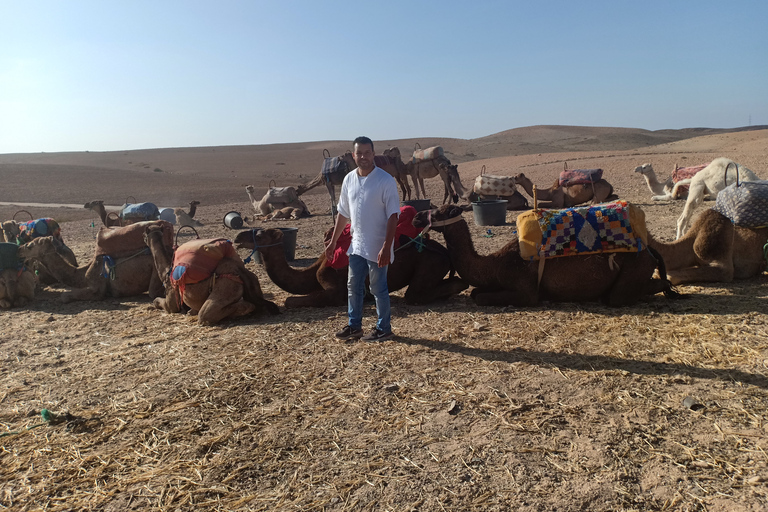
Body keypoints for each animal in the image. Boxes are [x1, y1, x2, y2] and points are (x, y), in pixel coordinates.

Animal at [16, 219, 174, 300]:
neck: (82, 273)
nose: (19, 249)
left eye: (30, 245)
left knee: (153, 292)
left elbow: (65, 296)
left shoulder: (97, 289)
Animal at [143, 224, 280, 324]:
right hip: (253, 281)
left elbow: (157, 301)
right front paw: (190, 310)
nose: (143, 240)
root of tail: (238, 270)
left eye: (144, 235)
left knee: (208, 314)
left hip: (225, 288)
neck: (166, 271)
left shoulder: (172, 301)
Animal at [232, 226, 468, 306]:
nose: (237, 237)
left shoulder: (333, 285)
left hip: (430, 262)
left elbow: (291, 301)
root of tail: (444, 251)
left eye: (259, 234)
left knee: (414, 294)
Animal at [412, 205, 676, 308]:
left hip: (633, 269)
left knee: (622, 295)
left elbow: (481, 297)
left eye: (439, 211)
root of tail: (649, 250)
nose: (416, 217)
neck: (494, 264)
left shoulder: (526, 291)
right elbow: (476, 292)